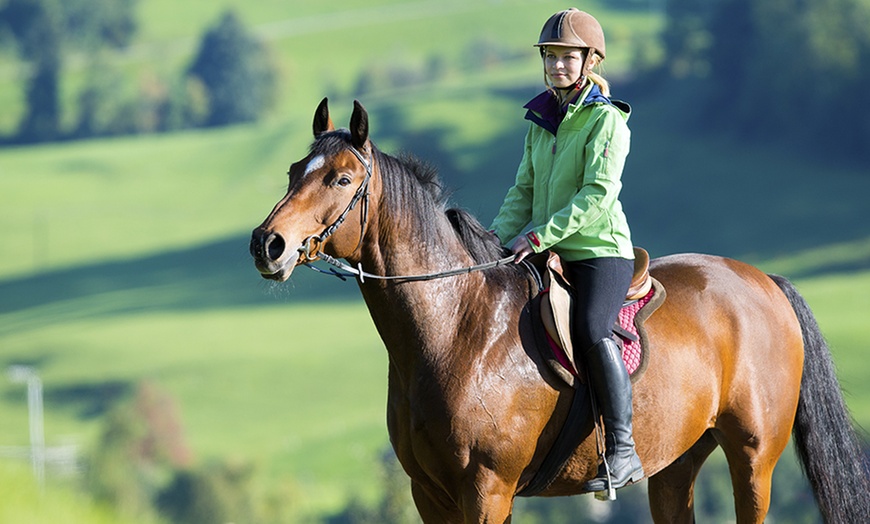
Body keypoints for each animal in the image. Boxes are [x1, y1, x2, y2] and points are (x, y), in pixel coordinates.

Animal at [249, 99, 868, 524]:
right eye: (293, 171)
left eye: (341, 178)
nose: (267, 244)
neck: (456, 329)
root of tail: (764, 282)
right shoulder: (429, 493)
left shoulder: (487, 489)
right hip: (675, 465)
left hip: (753, 458)